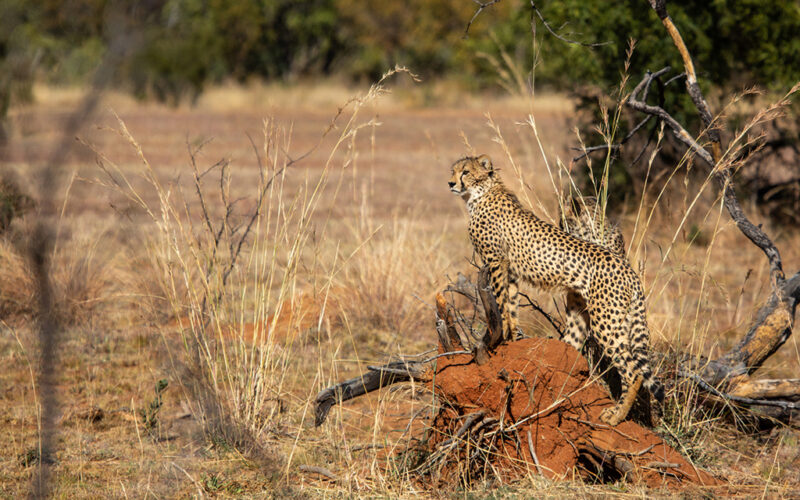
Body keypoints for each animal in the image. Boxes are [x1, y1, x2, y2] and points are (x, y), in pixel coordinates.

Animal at [448, 154, 664, 426]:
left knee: (633, 371)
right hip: (583, 314)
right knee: (576, 346)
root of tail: (629, 270)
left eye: (465, 172)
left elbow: (500, 302)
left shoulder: (496, 262)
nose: (450, 183)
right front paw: (512, 339)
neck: (481, 193)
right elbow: (511, 306)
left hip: (606, 322)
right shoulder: (511, 272)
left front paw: (501, 337)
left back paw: (616, 416)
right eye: (453, 171)